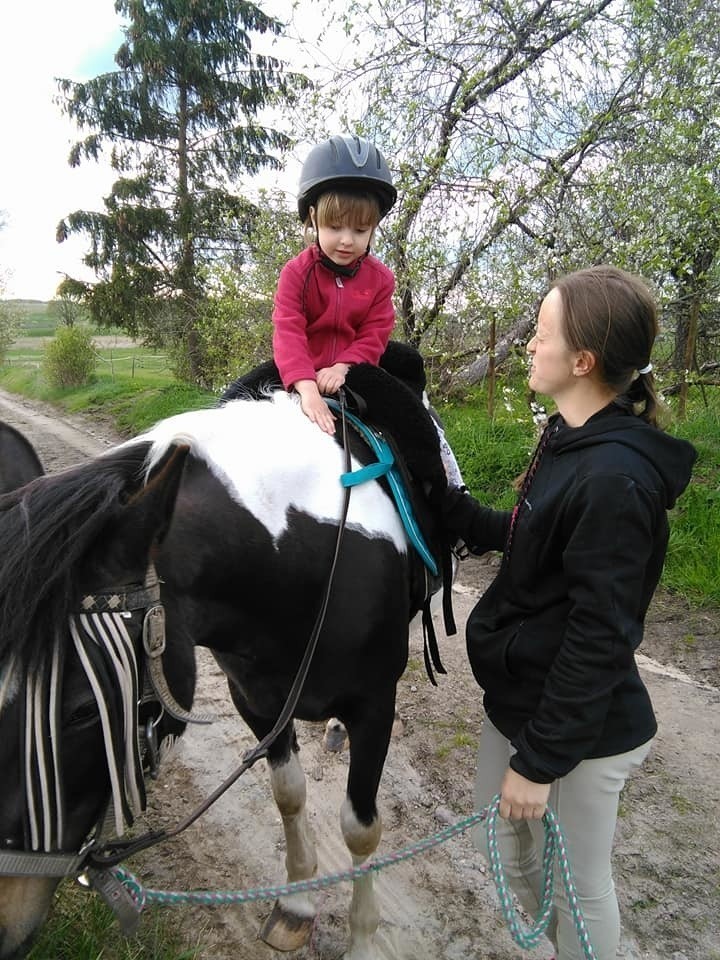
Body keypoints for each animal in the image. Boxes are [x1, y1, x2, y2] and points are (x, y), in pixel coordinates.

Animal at [0, 394, 448, 960]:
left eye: (80, 709)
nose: (5, 918)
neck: (302, 562)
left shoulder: (374, 708)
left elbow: (360, 829)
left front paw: (365, 940)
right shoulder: (256, 702)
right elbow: (288, 794)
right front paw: (296, 906)